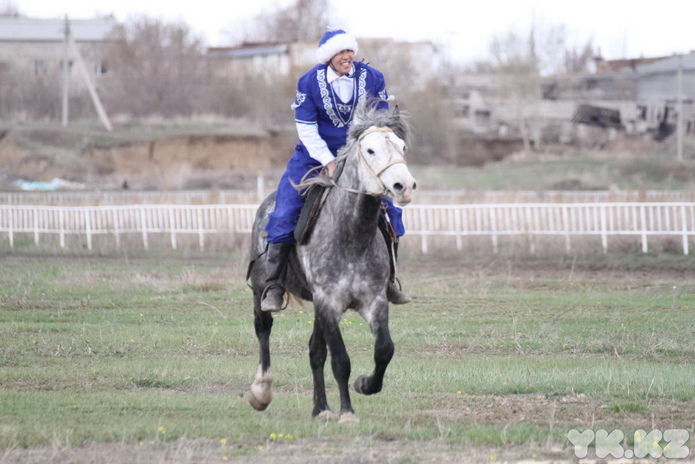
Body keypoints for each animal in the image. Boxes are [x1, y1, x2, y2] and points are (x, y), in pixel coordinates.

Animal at [247, 101, 416, 424]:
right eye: (370, 150)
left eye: (402, 146)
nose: (405, 185)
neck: (352, 236)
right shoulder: (329, 302)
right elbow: (341, 360)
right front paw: (348, 412)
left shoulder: (373, 300)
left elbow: (383, 350)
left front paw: (365, 385)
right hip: (261, 290)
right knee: (263, 329)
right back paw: (261, 390)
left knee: (315, 351)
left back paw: (321, 408)